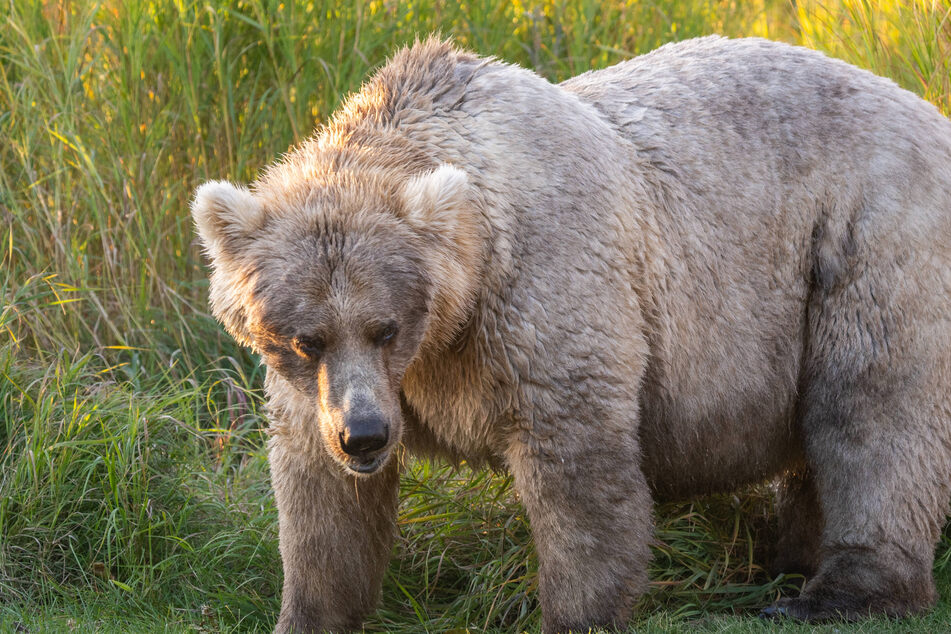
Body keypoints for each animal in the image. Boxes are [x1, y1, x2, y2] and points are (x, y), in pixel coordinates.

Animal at [191, 35, 951, 633]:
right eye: (305, 338)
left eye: (386, 327)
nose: (367, 436)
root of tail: (927, 111)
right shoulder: (322, 392)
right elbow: (321, 503)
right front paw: (307, 612)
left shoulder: (543, 293)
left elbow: (576, 469)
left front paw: (575, 613)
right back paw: (785, 556)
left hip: (863, 235)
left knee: (873, 407)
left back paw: (833, 591)